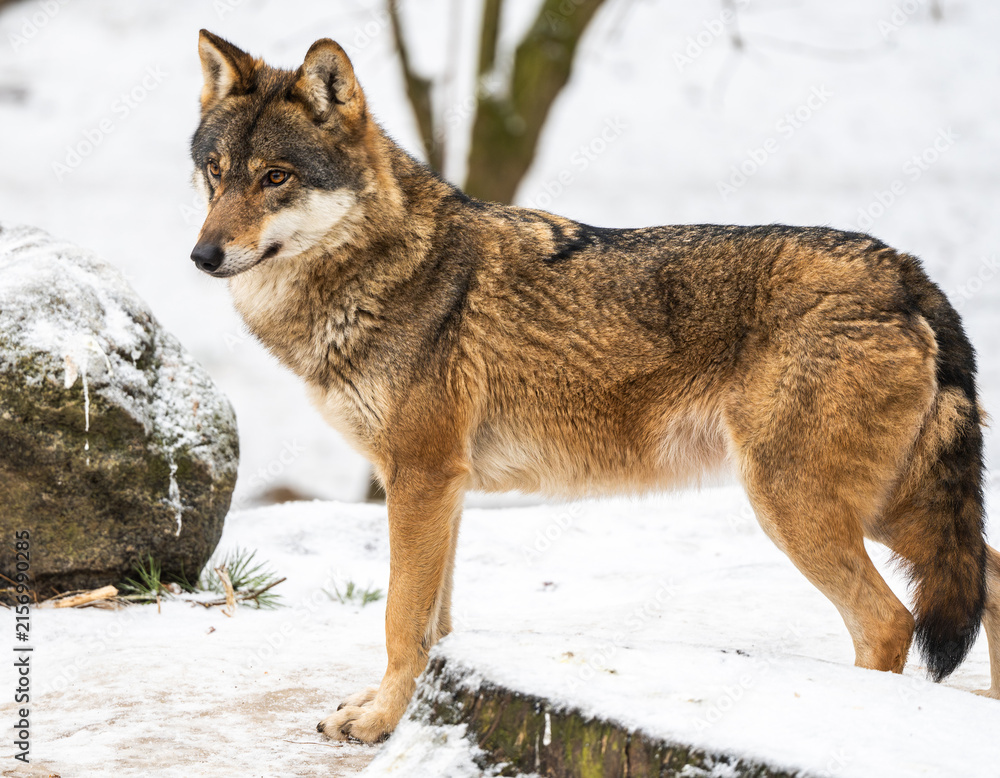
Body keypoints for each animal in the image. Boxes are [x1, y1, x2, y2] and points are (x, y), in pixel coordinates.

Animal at [190, 30, 1000, 743]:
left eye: (277, 177)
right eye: (217, 171)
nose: (202, 255)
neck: (384, 268)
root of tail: (903, 269)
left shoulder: (420, 477)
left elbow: (400, 621)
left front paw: (381, 722)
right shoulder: (439, 486)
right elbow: (435, 624)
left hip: (800, 506)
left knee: (892, 622)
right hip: (888, 509)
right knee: (987, 575)